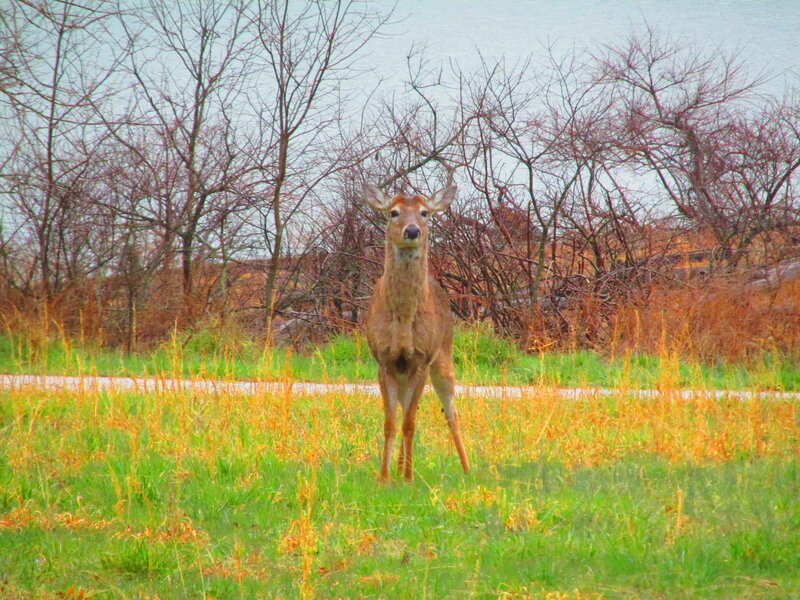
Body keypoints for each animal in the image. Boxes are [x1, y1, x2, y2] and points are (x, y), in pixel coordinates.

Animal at [362, 181, 469, 482]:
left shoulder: (422, 358)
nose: (412, 231)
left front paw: (409, 478)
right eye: (393, 212)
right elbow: (390, 422)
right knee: (404, 407)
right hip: (403, 373)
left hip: (444, 355)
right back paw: (398, 467)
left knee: (451, 412)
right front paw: (385, 478)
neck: (403, 321)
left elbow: (410, 423)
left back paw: (467, 469)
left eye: (424, 212)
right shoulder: (384, 360)